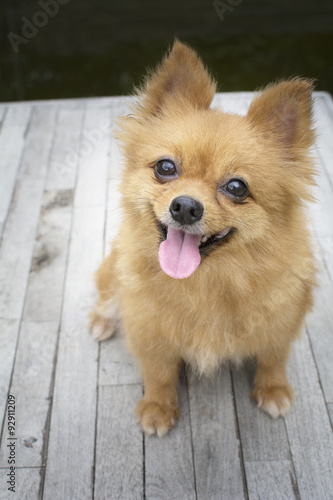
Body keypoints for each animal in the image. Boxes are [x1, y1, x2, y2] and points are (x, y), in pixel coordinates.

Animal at [89, 41, 316, 436]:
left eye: (236, 188)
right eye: (165, 167)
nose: (185, 206)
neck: (207, 282)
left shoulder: (282, 323)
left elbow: (273, 358)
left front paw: (273, 389)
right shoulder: (149, 333)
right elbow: (158, 373)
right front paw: (158, 407)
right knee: (105, 294)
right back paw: (102, 321)